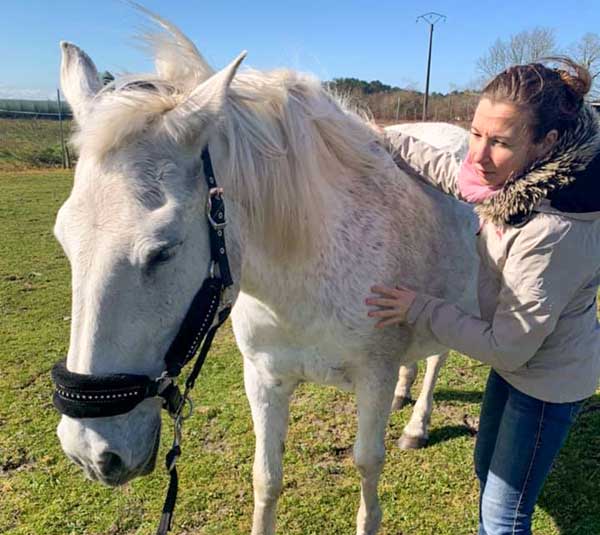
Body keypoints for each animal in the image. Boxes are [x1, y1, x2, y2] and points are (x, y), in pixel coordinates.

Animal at [55, 14, 478, 535]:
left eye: (164, 251)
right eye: (63, 239)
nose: (91, 451)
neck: (304, 277)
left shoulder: (371, 381)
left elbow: (367, 465)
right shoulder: (264, 379)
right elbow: (267, 478)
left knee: (437, 359)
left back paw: (417, 425)